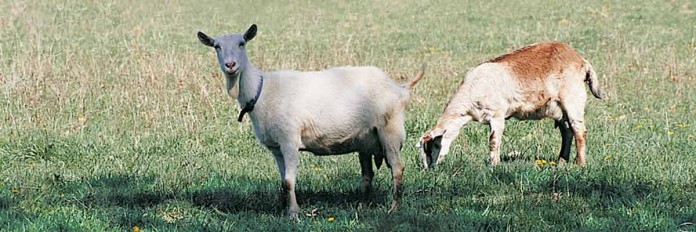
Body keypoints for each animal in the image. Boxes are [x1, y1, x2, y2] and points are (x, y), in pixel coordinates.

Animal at [196, 24, 424, 218]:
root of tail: (399, 87)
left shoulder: (289, 140)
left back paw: (394, 208)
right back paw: (362, 205)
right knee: (367, 173)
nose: (230, 65)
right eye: (216, 46)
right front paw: (283, 209)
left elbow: (289, 181)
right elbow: (283, 181)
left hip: (390, 132)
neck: (261, 91)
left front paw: (294, 214)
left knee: (397, 169)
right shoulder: (276, 146)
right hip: (366, 140)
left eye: (242, 43)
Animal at [418, 41, 604, 169]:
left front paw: (495, 165)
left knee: (579, 131)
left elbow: (493, 141)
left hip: (573, 99)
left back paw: (580, 163)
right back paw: (561, 162)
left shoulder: (497, 115)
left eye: (433, 145)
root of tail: (581, 60)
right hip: (559, 108)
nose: (429, 169)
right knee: (567, 131)